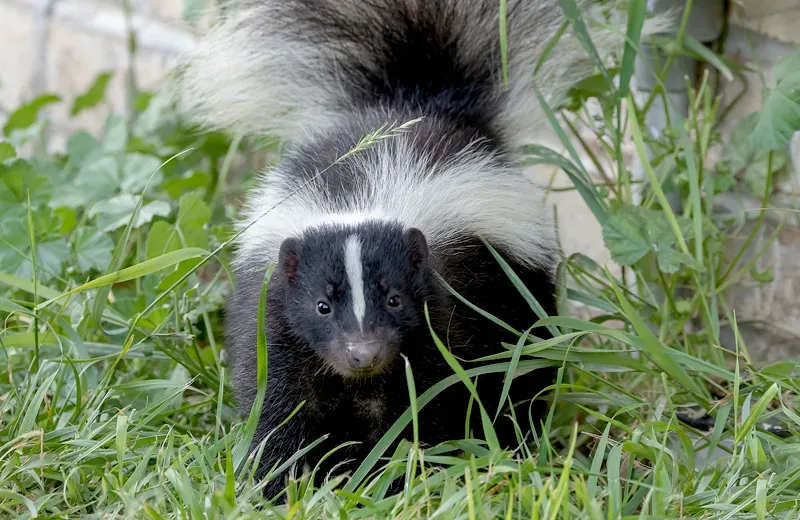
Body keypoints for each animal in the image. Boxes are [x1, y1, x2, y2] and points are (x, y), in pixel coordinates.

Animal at [180, 0, 668, 498]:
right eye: (321, 306)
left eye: (395, 298)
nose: (363, 354)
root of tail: (418, 101)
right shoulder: (276, 319)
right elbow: (282, 405)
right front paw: (279, 484)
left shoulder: (442, 313)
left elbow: (424, 402)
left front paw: (397, 478)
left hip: (518, 291)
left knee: (524, 368)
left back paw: (518, 438)